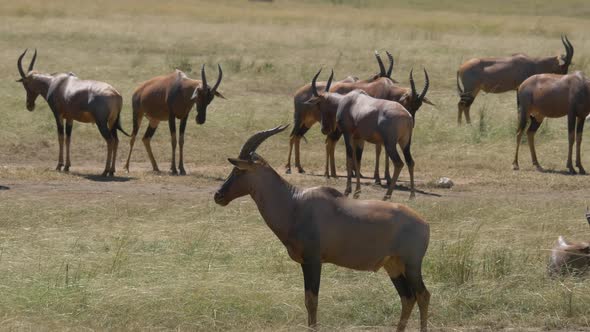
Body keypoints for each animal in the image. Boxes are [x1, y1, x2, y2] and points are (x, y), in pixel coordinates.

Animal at [15, 48, 128, 176]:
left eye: (25, 84)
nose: (29, 106)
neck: (57, 82)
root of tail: (116, 94)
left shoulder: (58, 115)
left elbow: (60, 137)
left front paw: (59, 166)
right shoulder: (70, 118)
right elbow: (68, 138)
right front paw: (67, 166)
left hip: (102, 123)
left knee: (110, 141)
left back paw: (105, 171)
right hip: (112, 123)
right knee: (116, 141)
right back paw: (112, 170)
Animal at [213, 125, 430, 332]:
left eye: (239, 170)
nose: (218, 195)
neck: (295, 203)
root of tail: (424, 223)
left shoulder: (313, 261)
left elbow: (312, 301)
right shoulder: (305, 263)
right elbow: (308, 301)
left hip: (411, 265)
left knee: (423, 295)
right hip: (393, 266)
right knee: (407, 297)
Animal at [308, 69, 418, 200]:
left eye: (319, 105)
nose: (324, 129)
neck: (349, 100)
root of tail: (407, 116)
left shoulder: (347, 134)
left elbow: (349, 158)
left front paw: (347, 191)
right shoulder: (359, 138)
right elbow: (358, 161)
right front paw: (357, 192)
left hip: (390, 144)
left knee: (399, 163)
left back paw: (387, 195)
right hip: (405, 143)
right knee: (410, 162)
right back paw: (412, 195)